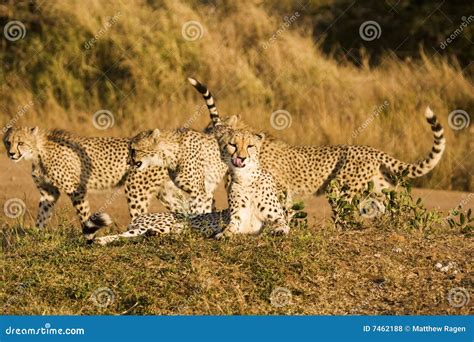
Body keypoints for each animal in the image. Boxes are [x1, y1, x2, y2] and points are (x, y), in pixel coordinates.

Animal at [2, 125, 185, 238]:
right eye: (8, 142)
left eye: (20, 142)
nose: (11, 153)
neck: (38, 151)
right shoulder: (49, 193)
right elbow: (42, 214)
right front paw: (37, 235)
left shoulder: (77, 189)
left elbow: (83, 214)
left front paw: (87, 234)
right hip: (164, 191)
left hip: (136, 188)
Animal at [93, 128, 288, 246]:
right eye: (233, 145)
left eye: (250, 146)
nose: (241, 158)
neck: (247, 178)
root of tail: (141, 218)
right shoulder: (236, 220)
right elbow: (230, 228)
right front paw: (223, 235)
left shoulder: (276, 217)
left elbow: (282, 225)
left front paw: (278, 231)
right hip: (154, 224)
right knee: (124, 236)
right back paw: (101, 240)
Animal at [188, 78, 444, 208]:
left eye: (214, 132)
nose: (203, 138)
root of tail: (370, 149)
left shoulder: (279, 188)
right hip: (377, 186)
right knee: (392, 202)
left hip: (341, 188)